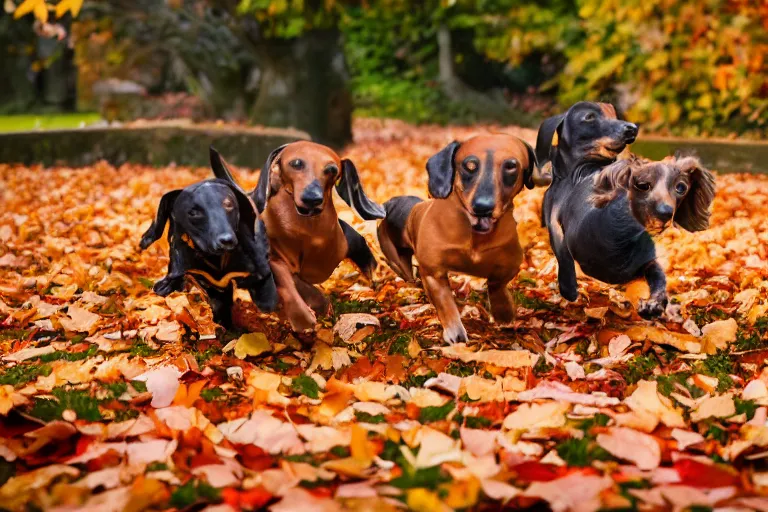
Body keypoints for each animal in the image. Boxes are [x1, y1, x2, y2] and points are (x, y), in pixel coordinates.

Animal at [210, 142, 388, 332]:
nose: (312, 198)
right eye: (296, 163)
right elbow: (290, 286)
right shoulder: (276, 261)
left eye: (332, 169)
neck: (307, 232)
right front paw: (304, 317)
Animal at [376, 136, 536, 344]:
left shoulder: (511, 263)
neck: (473, 234)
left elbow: (497, 283)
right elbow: (445, 303)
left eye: (511, 166)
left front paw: (503, 311)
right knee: (405, 271)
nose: (482, 207)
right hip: (399, 260)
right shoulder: (434, 272)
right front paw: (455, 331)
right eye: (469, 166)